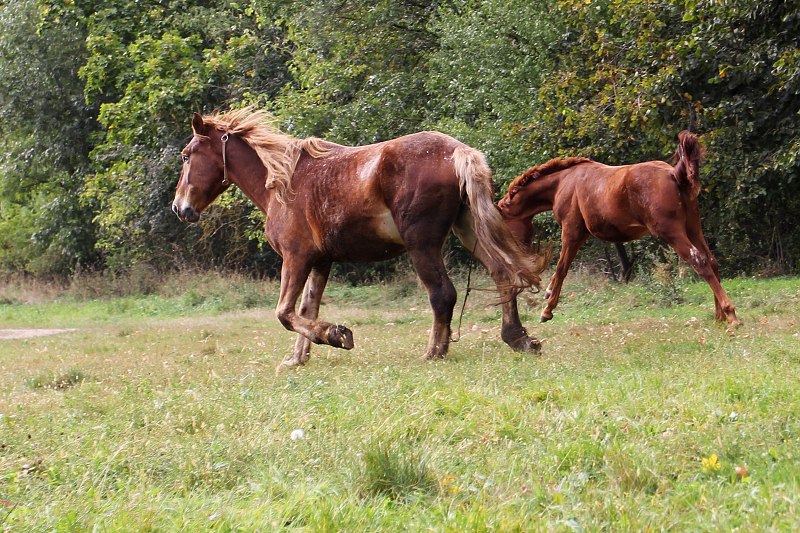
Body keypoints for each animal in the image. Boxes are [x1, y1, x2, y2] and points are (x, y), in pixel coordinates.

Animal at [170, 107, 544, 366]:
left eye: (187, 155)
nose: (179, 207)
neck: (283, 182)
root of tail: (457, 152)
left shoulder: (296, 257)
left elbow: (285, 313)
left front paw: (337, 335)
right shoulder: (320, 262)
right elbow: (305, 308)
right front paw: (298, 358)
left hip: (421, 244)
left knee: (443, 294)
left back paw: (434, 352)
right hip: (468, 231)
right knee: (502, 274)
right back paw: (518, 338)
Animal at [496, 131, 740, 326]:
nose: (512, 254)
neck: (564, 182)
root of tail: (674, 174)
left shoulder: (572, 233)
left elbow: (561, 268)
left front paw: (547, 309)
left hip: (672, 232)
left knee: (699, 261)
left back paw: (731, 314)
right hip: (693, 228)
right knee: (711, 261)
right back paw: (719, 316)